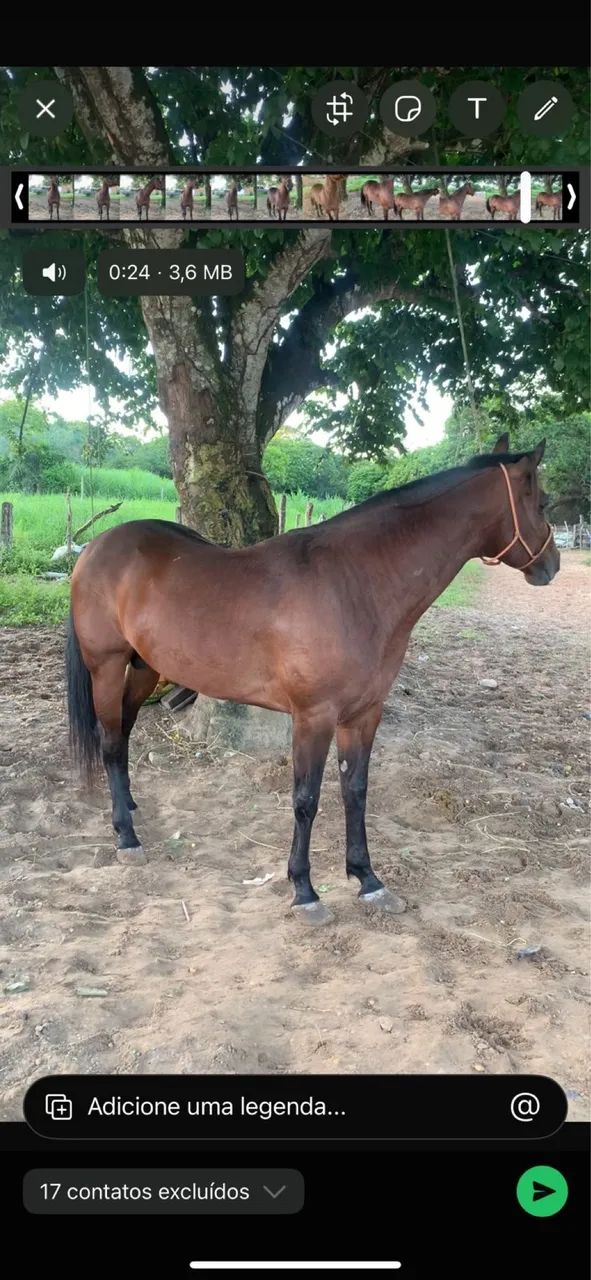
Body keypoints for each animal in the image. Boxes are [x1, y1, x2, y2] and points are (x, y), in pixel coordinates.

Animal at [66, 435, 558, 927]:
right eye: (543, 502)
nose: (551, 565)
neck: (354, 586)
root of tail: (94, 547)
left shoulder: (363, 714)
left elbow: (355, 791)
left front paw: (368, 879)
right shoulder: (313, 717)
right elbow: (306, 799)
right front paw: (304, 890)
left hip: (144, 667)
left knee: (124, 733)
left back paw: (129, 807)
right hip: (106, 666)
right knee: (109, 741)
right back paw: (126, 837)